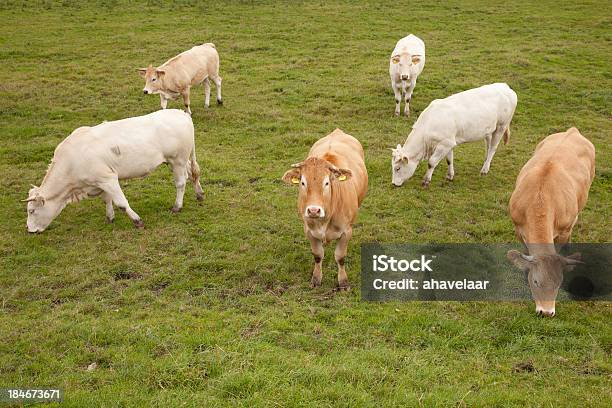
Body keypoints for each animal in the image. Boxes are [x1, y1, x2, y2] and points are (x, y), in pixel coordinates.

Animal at [24, 109, 203, 233]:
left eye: (31, 211)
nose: (30, 230)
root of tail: (181, 113)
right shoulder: (100, 181)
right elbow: (107, 199)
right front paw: (110, 217)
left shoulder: (108, 178)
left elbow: (121, 203)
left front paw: (137, 221)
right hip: (179, 161)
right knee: (193, 173)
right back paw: (199, 194)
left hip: (177, 160)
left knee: (181, 183)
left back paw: (177, 207)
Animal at [284, 129, 368, 288]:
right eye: (302, 183)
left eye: (327, 183)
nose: (313, 210)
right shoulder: (309, 231)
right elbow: (317, 255)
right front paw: (316, 279)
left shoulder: (346, 232)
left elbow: (340, 257)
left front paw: (343, 282)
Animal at [506, 126, 596, 316]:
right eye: (536, 282)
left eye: (558, 283)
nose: (546, 312)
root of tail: (573, 130)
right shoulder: (518, 228)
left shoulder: (563, 231)